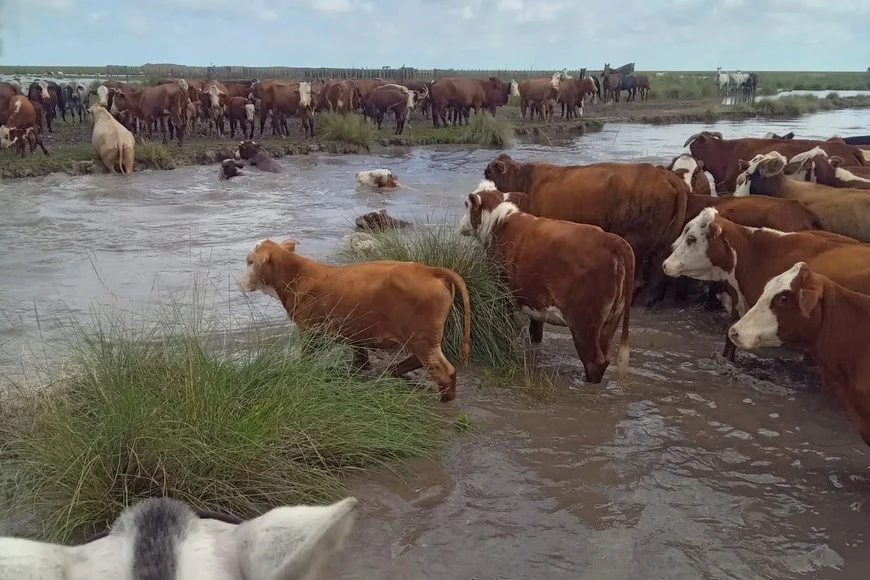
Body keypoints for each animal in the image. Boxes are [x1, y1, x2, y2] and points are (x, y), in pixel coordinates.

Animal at [239, 238, 471, 402]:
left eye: (250, 261)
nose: (240, 284)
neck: (298, 276)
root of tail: (429, 270)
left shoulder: (312, 333)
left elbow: (307, 358)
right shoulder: (355, 332)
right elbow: (360, 356)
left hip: (422, 338)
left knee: (445, 372)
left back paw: (445, 400)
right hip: (423, 338)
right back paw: (394, 371)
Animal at [459, 183, 633, 384]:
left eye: (466, 205)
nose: (461, 225)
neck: (500, 223)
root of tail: (613, 240)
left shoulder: (501, 294)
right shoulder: (536, 301)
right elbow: (536, 331)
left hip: (585, 323)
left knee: (594, 361)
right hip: (611, 320)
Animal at [483, 153, 688, 306]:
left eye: (489, 174)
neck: (523, 181)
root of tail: (661, 173)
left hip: (636, 241)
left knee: (638, 280)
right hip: (662, 242)